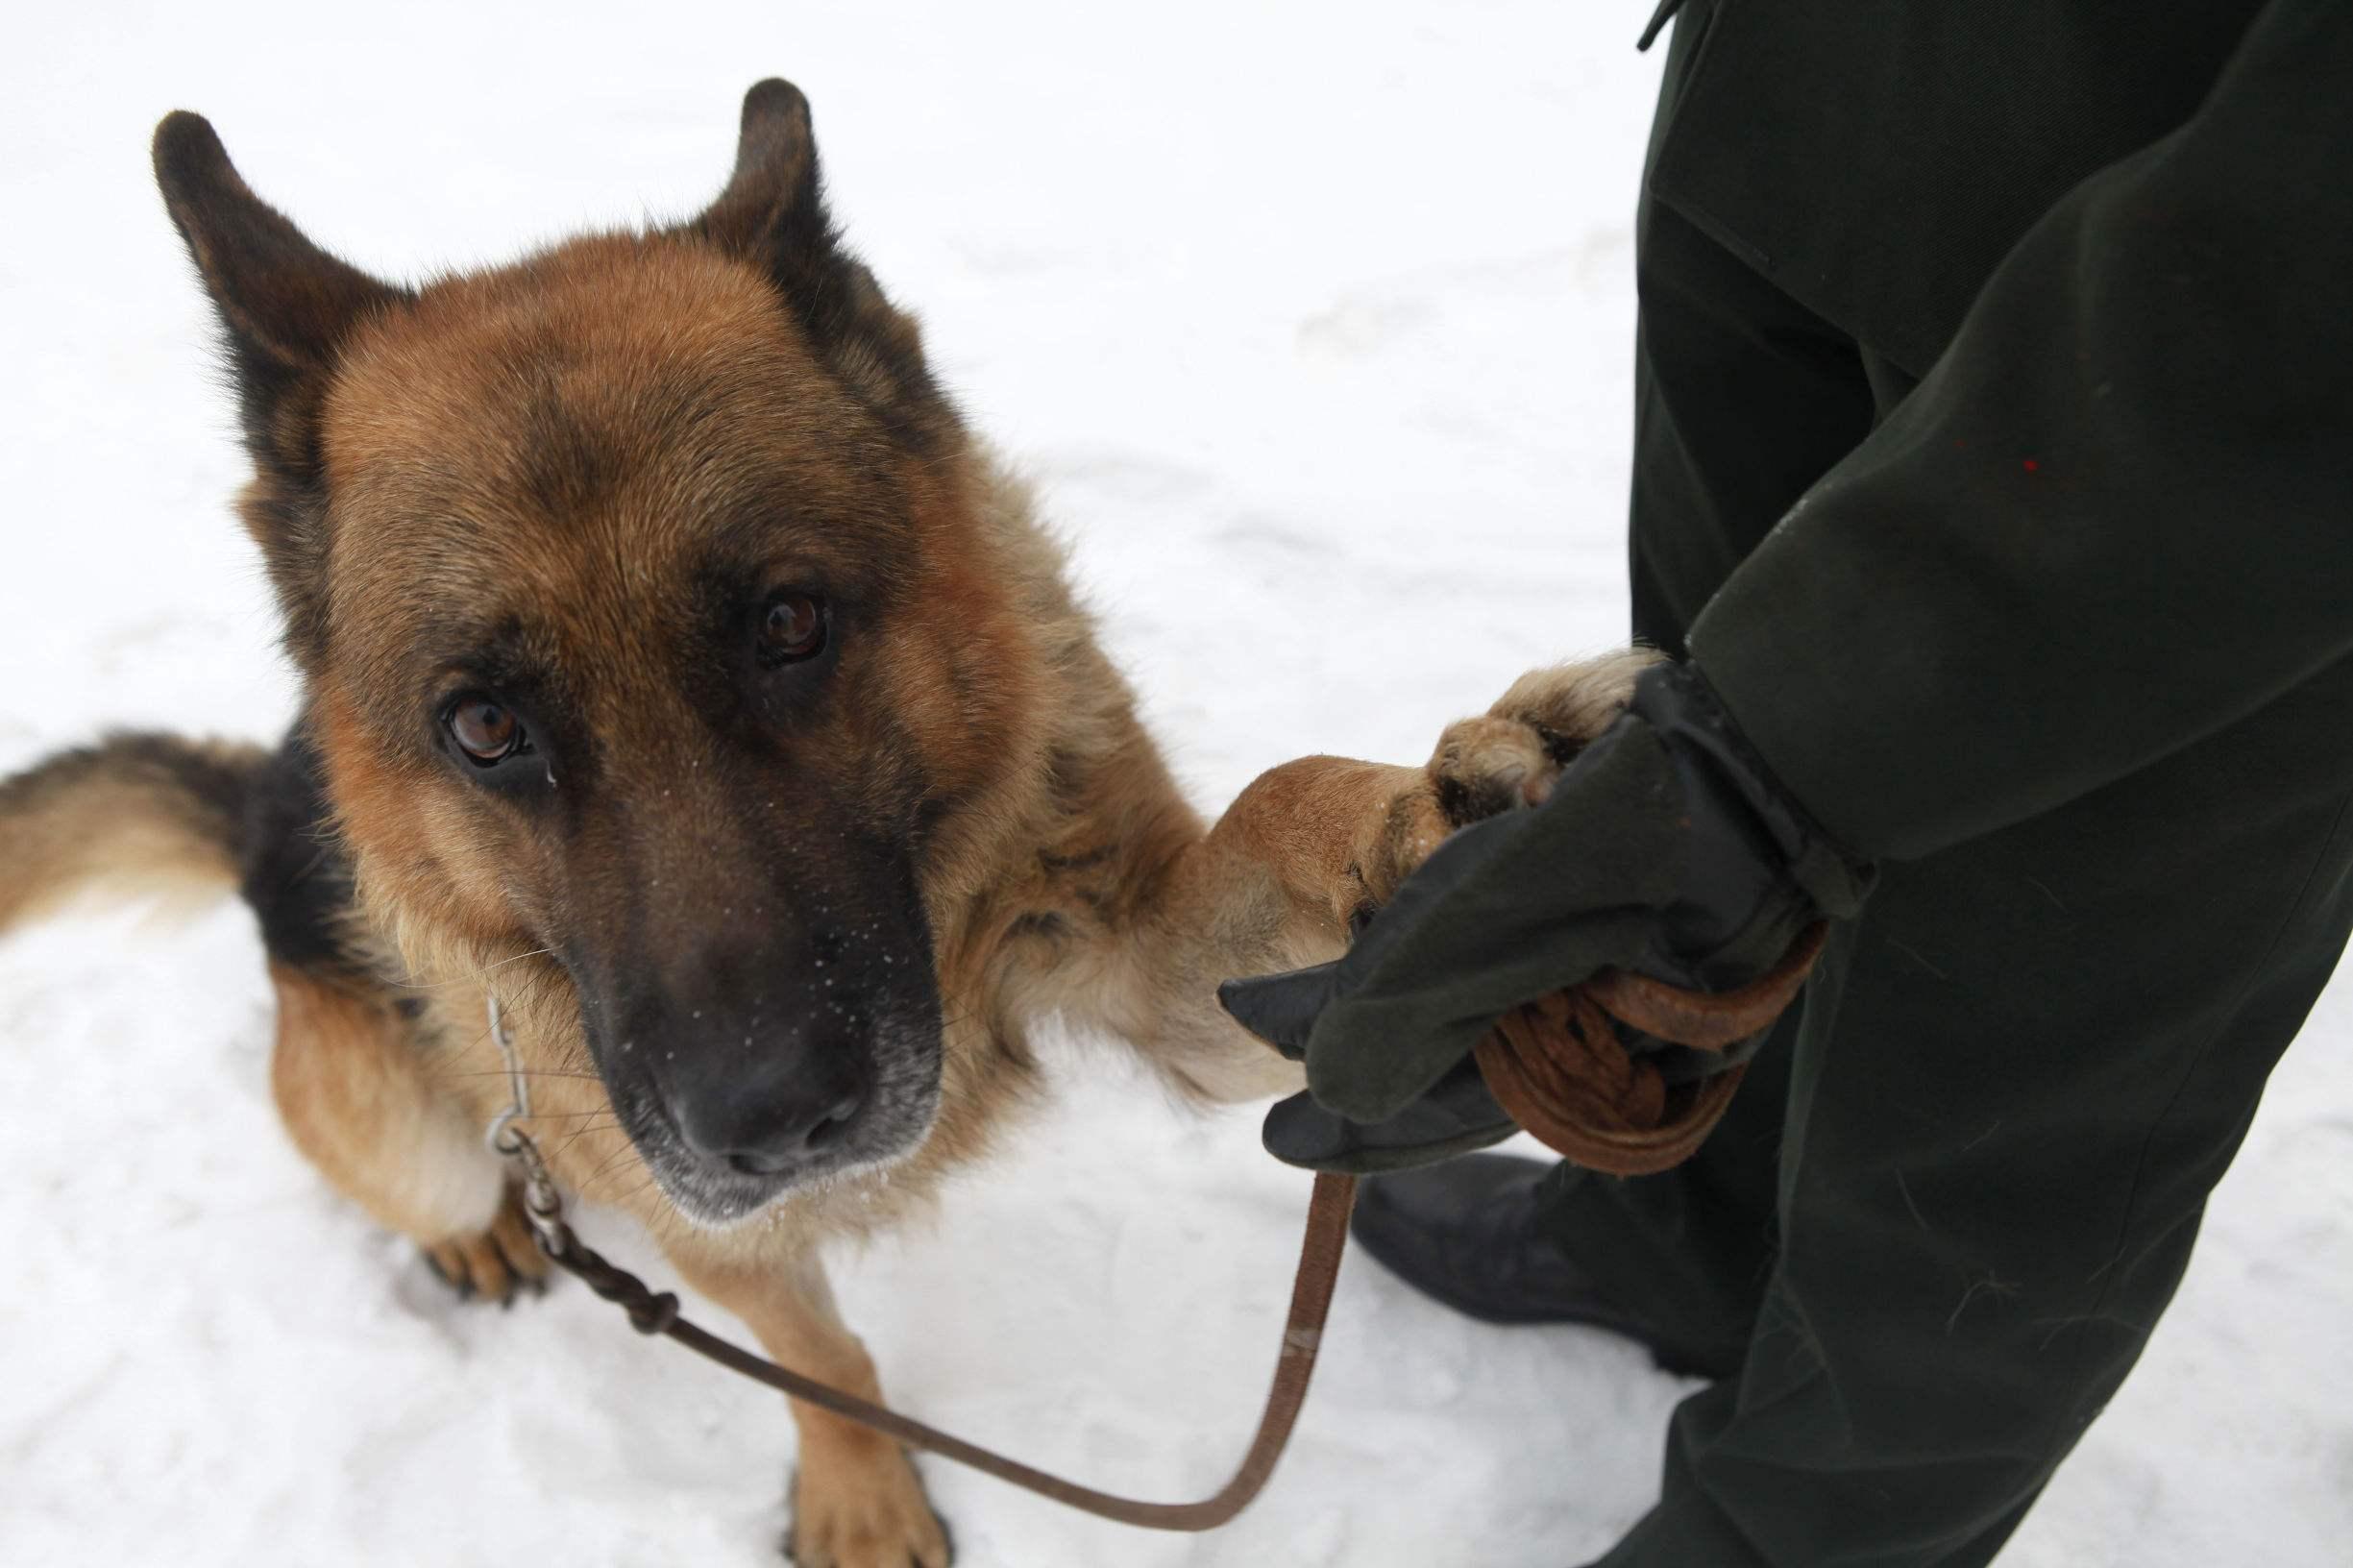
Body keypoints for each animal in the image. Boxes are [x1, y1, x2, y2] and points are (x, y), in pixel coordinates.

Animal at [0, 82, 1656, 1554]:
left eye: (789, 622)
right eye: (482, 727)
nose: (774, 1121)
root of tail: (257, 811)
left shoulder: (1154, 966)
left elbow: (1278, 810)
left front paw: (1417, 815)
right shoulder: (692, 1214)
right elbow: (819, 1358)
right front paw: (861, 1493)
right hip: (415, 1123)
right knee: (417, 1168)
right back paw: (479, 1224)